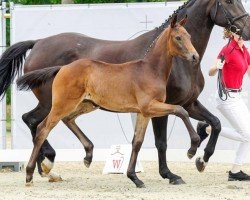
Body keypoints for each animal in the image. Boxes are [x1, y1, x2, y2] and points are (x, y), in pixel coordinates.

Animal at [17, 16, 199, 188]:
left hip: (86, 104)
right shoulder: (150, 107)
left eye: (189, 36)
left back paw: (88, 155)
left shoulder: (144, 113)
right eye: (178, 37)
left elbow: (137, 143)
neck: (151, 70)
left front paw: (134, 178)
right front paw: (192, 149)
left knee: (67, 119)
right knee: (43, 128)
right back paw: (30, 174)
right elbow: (181, 110)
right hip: (62, 104)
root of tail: (62, 68)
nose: (195, 56)